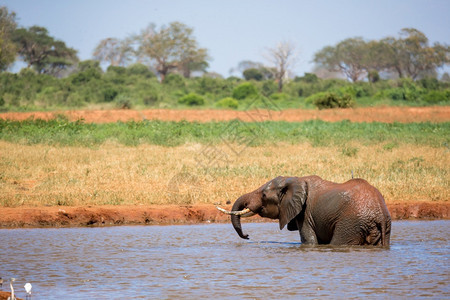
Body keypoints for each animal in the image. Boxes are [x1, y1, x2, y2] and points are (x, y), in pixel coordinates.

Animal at [217, 176, 390, 246]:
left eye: (264, 195)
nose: (247, 236)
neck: (294, 179)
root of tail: (380, 214)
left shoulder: (305, 214)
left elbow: (309, 240)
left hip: (351, 223)